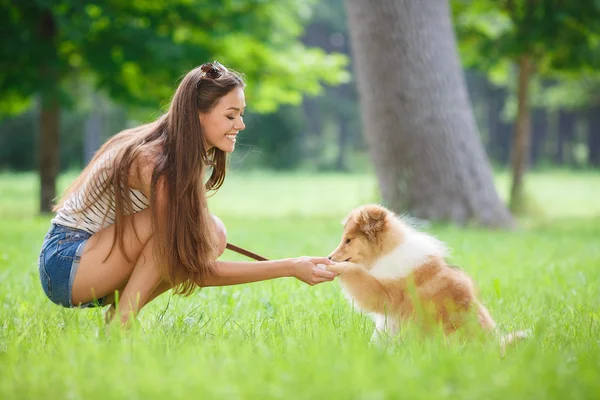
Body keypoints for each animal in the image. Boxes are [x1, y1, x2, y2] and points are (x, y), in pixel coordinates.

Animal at [326, 205, 528, 352]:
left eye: (348, 240)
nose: (329, 257)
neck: (386, 252)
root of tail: (496, 348)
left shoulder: (385, 294)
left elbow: (358, 275)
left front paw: (335, 267)